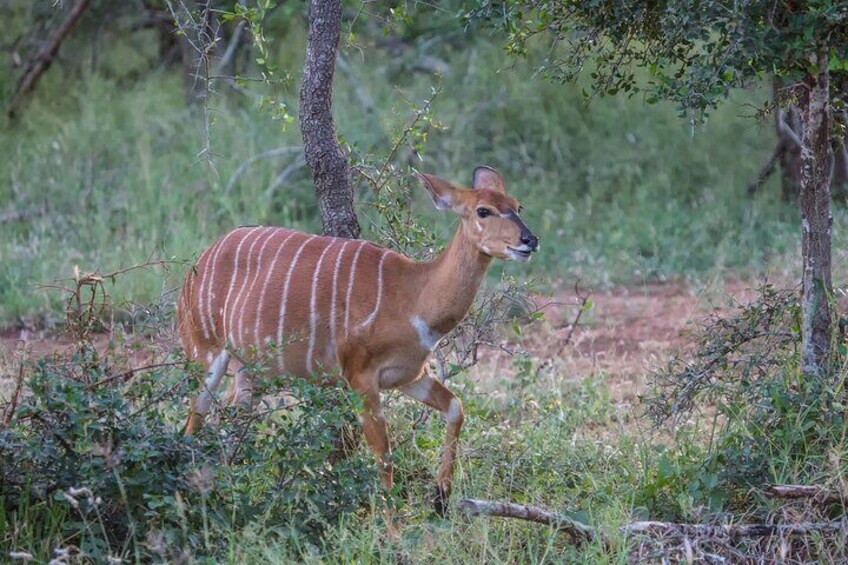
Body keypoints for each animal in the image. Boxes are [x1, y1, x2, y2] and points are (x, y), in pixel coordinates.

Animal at [176, 165, 540, 512]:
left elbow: (456, 407)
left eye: (518, 205)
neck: (413, 296)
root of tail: (200, 260)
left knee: (227, 419)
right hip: (205, 353)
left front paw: (440, 499)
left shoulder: (410, 376)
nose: (530, 240)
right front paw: (393, 529)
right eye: (483, 211)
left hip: (251, 372)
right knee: (195, 416)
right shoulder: (360, 376)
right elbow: (384, 457)